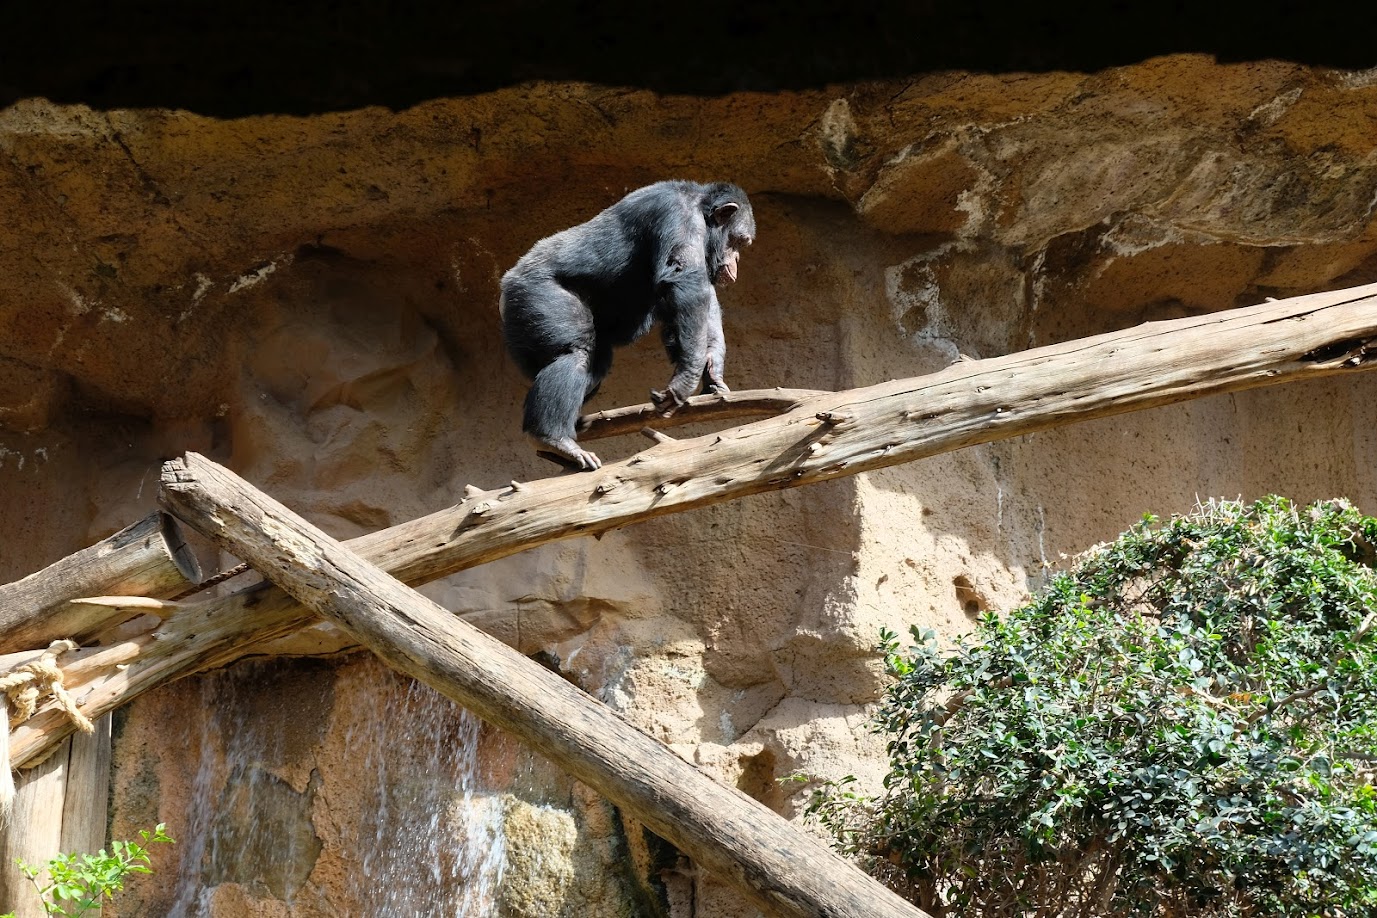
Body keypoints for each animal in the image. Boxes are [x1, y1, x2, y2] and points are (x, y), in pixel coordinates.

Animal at [498, 180, 754, 470]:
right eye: (739, 241)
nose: (736, 260)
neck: (700, 207)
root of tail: (505, 286)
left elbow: (703, 297)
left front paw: (713, 372)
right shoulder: (678, 215)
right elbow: (686, 281)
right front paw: (685, 379)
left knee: (596, 364)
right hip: (536, 295)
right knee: (577, 354)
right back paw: (552, 438)